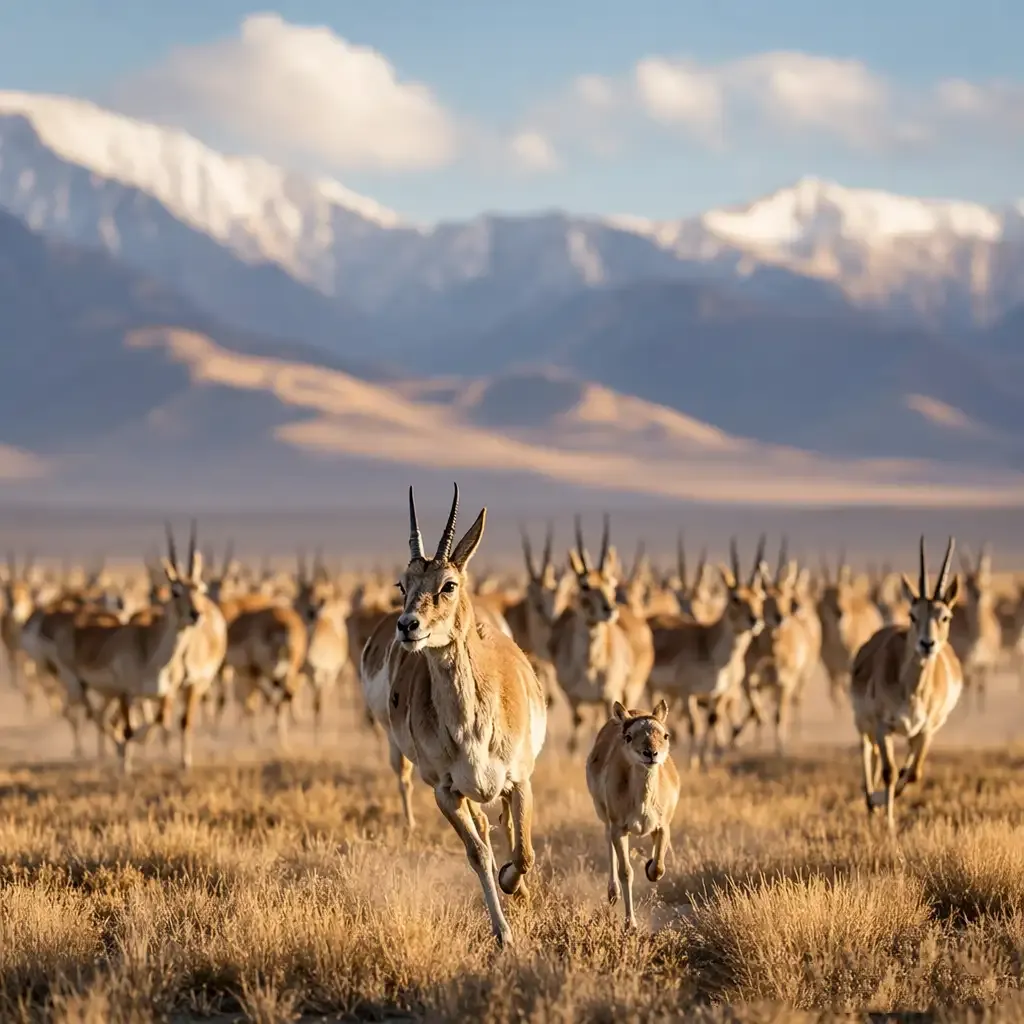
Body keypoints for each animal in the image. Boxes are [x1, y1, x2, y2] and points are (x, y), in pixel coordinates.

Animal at [362, 483, 546, 948]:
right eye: (402, 582)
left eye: (448, 584)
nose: (408, 626)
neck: (473, 727)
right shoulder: (444, 791)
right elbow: (477, 852)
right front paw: (503, 934)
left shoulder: (520, 780)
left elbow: (524, 851)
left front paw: (513, 883)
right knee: (484, 826)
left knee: (507, 826)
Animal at [549, 516, 635, 755]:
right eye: (585, 584)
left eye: (611, 582)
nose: (610, 609)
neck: (589, 664)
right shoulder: (573, 697)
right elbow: (576, 729)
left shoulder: (609, 697)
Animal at [586, 699, 679, 930]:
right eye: (628, 736)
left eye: (665, 735)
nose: (651, 753)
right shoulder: (619, 828)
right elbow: (626, 871)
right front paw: (630, 925)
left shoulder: (664, 826)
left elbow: (658, 868)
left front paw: (649, 865)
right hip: (605, 818)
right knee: (608, 842)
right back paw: (613, 894)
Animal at [851, 536, 962, 834]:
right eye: (913, 614)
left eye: (945, 616)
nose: (927, 644)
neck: (912, 691)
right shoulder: (882, 726)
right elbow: (889, 772)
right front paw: (887, 821)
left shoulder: (926, 730)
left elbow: (913, 774)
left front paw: (882, 806)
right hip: (865, 725)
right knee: (868, 753)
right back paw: (871, 802)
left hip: (913, 734)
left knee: (904, 765)